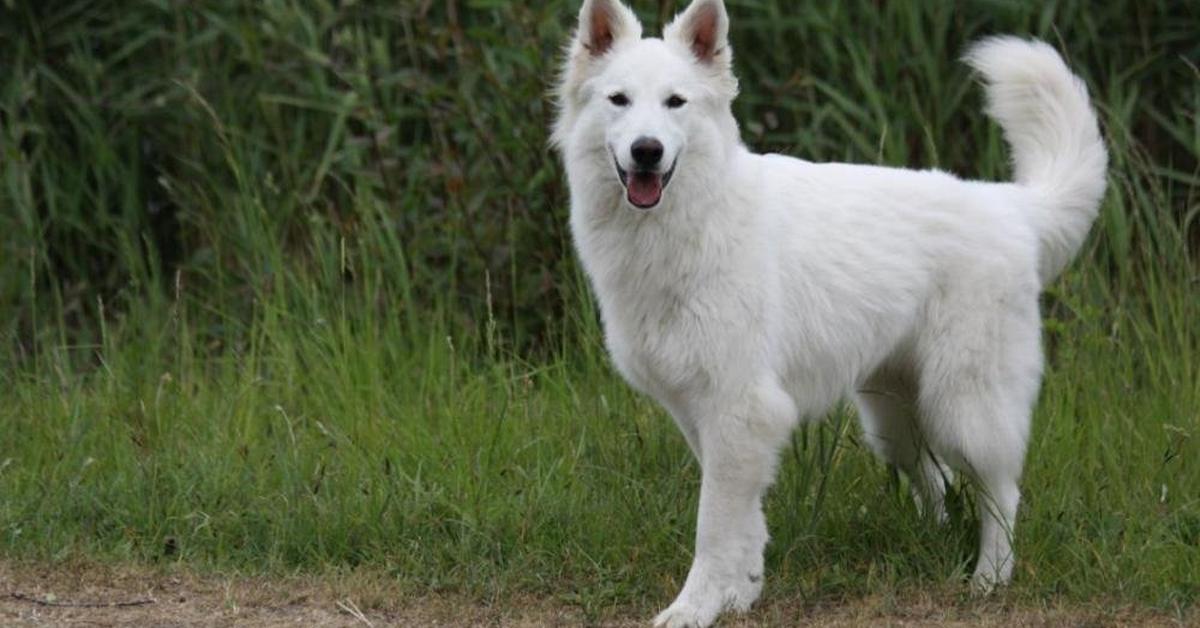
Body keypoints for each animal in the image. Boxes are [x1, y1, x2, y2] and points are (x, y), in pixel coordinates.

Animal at [552, 1, 1104, 624]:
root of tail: (1009, 204)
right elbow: (745, 522)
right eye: (619, 100)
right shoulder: (709, 419)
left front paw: (696, 606)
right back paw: (933, 546)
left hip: (965, 410)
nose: (647, 150)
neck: (692, 220)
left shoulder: (742, 412)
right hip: (894, 421)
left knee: (1002, 493)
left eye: (675, 102)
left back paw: (988, 581)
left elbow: (713, 528)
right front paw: (742, 592)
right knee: (937, 482)